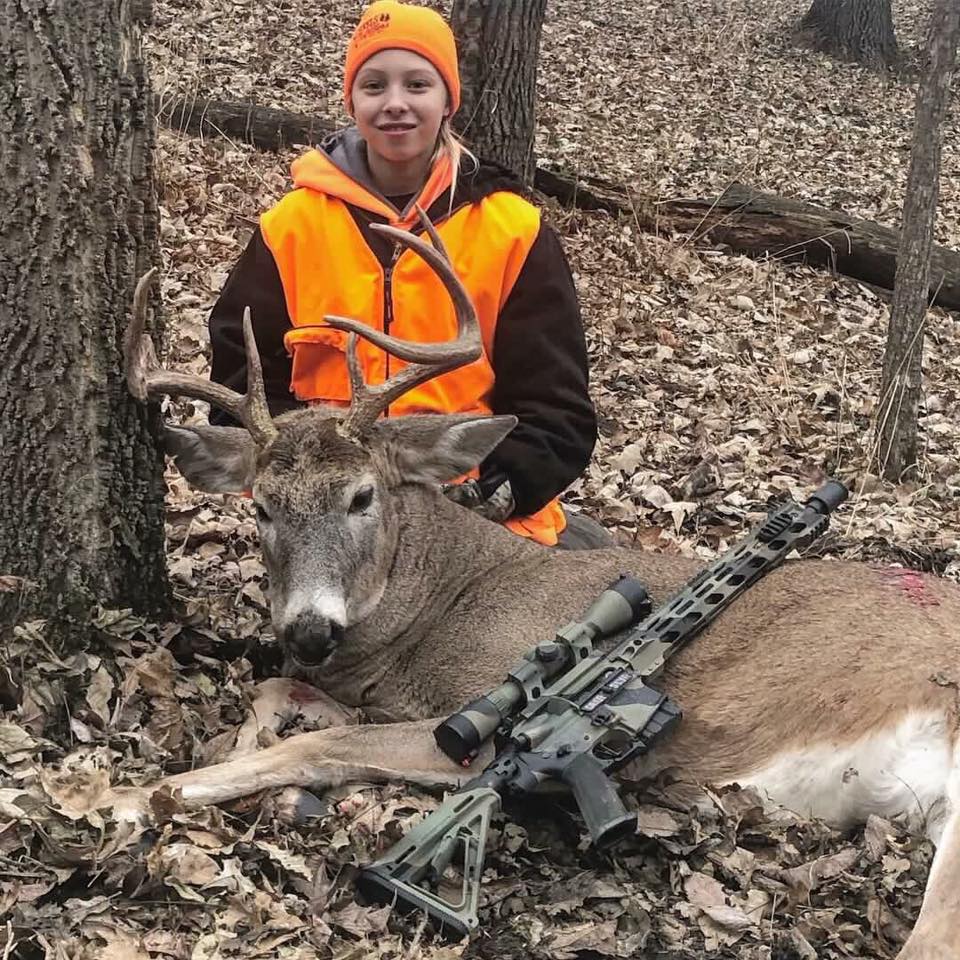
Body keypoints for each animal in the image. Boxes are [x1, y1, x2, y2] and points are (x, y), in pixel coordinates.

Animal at [114, 213, 959, 960]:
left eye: (362, 496)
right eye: (261, 506)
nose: (309, 631)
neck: (434, 608)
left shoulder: (467, 730)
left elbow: (316, 745)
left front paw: (139, 796)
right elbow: (279, 698)